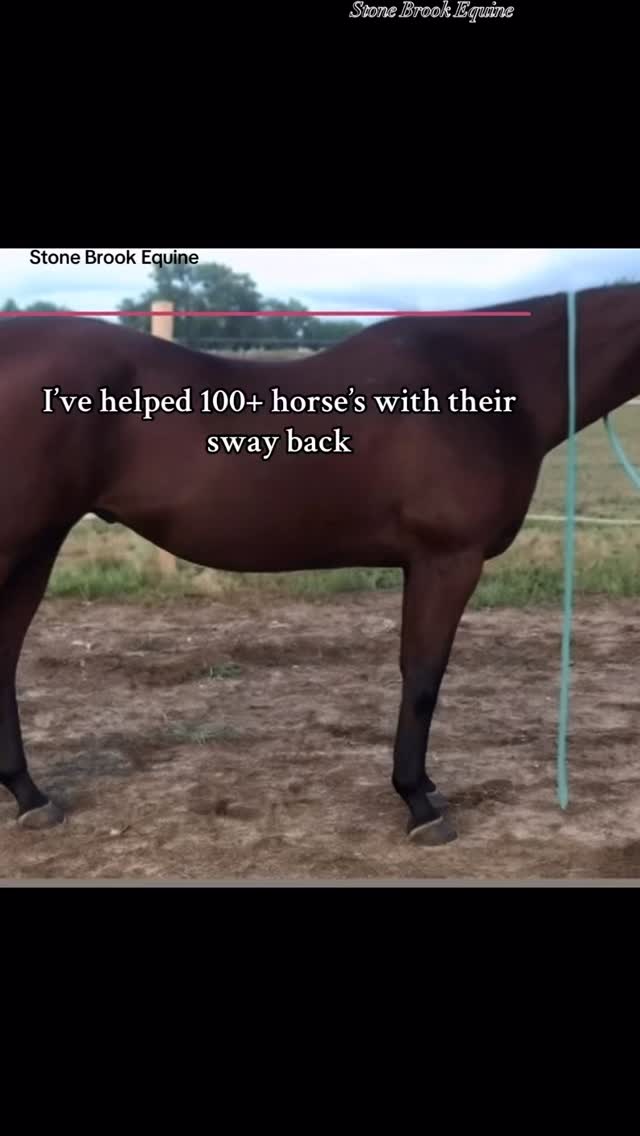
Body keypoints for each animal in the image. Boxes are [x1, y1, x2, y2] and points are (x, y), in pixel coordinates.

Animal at [0, 285, 638, 845]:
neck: (492, 376)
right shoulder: (448, 560)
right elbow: (423, 678)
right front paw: (419, 804)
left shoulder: (422, 564)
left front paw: (425, 787)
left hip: (38, 546)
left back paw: (31, 797)